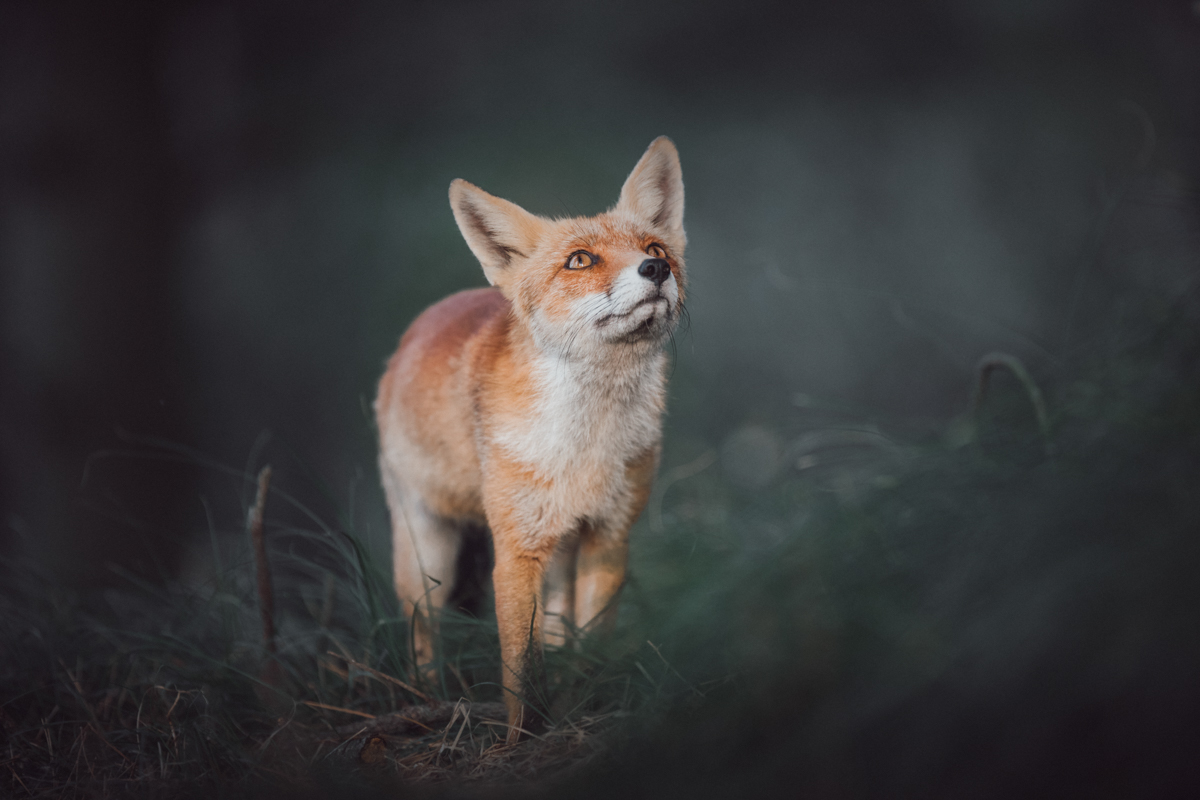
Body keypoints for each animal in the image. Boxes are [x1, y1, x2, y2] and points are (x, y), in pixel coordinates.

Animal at [374, 134, 686, 743]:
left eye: (654, 244)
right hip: (427, 554)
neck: (588, 442)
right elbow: (520, 668)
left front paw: (585, 707)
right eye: (580, 260)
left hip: (559, 552)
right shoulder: (516, 550)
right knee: (424, 632)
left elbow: (588, 648)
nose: (657, 267)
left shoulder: (608, 537)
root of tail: (423, 320)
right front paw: (522, 741)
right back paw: (425, 702)